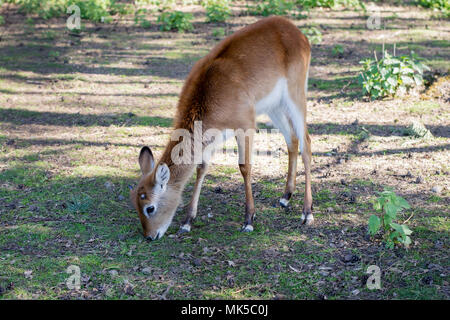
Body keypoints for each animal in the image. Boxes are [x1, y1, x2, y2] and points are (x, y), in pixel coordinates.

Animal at [130, 15, 312, 240]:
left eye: (150, 207)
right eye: (135, 201)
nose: (149, 236)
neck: (210, 95)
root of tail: (295, 30)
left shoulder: (246, 124)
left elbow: (244, 167)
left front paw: (249, 220)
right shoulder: (213, 135)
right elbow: (201, 168)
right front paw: (187, 222)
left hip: (296, 96)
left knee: (306, 143)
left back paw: (307, 213)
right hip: (275, 107)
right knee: (292, 140)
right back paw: (285, 197)